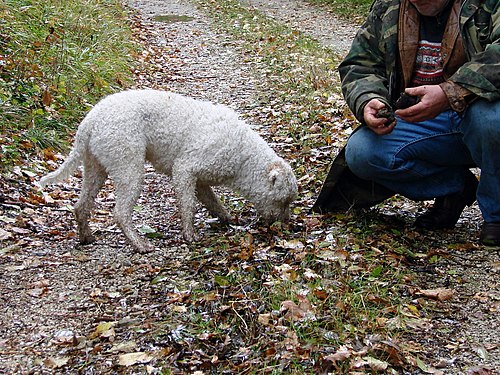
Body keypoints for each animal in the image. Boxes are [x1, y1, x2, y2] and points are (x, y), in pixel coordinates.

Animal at [40, 89, 296, 253]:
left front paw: (227, 219)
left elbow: (213, 203)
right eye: (283, 201)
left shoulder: (201, 181)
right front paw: (189, 235)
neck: (244, 156)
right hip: (128, 167)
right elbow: (188, 206)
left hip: (95, 168)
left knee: (81, 206)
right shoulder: (185, 169)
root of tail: (89, 121)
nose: (285, 226)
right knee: (120, 213)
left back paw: (86, 237)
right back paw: (140, 245)